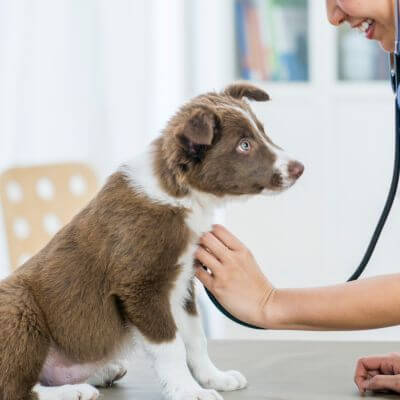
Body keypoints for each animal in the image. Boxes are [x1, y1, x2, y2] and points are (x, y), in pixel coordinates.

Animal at [0, 82, 304, 400]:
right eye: (244, 145)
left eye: (262, 132)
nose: (300, 168)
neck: (181, 194)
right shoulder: (141, 288)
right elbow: (171, 347)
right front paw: (188, 390)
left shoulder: (182, 283)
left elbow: (195, 337)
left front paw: (213, 377)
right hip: (18, 310)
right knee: (14, 388)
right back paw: (74, 391)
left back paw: (101, 373)